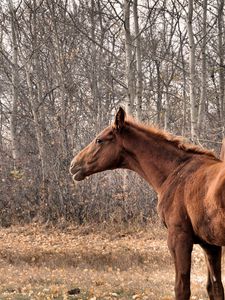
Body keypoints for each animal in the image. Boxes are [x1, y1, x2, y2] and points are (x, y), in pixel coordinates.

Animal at [70, 108, 225, 300]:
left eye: (99, 140)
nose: (74, 165)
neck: (176, 171)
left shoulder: (179, 238)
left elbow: (182, 289)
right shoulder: (210, 244)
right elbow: (215, 288)